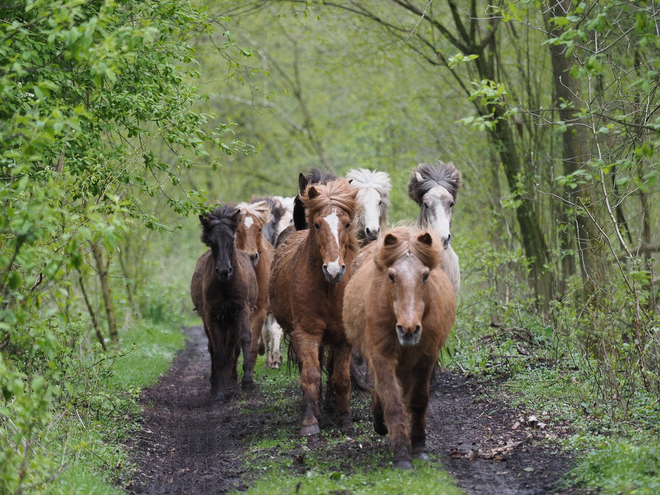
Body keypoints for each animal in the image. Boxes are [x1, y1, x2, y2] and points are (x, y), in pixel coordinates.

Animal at [191, 205, 258, 404]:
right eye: (211, 241)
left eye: (232, 238)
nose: (223, 271)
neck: (226, 285)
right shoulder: (212, 316)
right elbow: (219, 353)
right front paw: (220, 392)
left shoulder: (240, 311)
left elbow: (243, 340)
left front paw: (246, 382)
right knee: (213, 348)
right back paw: (216, 384)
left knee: (232, 349)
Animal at [270, 178, 358, 434]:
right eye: (317, 225)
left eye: (347, 224)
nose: (333, 269)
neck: (328, 289)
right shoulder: (306, 333)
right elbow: (310, 374)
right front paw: (310, 421)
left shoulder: (343, 337)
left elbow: (342, 378)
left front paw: (345, 419)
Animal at [342, 227, 456, 470]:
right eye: (392, 276)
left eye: (425, 275)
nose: (409, 330)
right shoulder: (382, 357)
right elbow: (393, 403)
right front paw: (402, 454)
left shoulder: (425, 360)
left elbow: (418, 401)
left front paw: (419, 447)